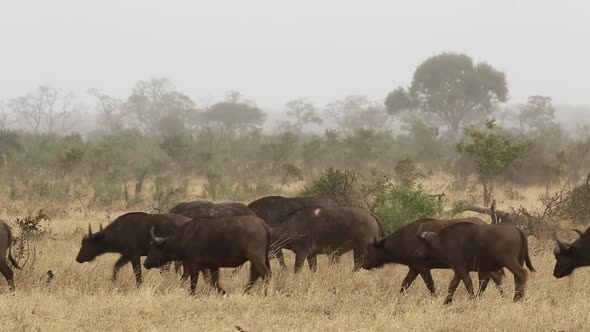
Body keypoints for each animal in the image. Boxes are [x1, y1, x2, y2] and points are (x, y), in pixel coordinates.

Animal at [360, 218, 504, 296]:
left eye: (369, 249)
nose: (363, 264)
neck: (405, 240)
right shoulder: (414, 268)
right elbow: (405, 284)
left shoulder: (422, 268)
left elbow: (430, 285)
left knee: (495, 278)